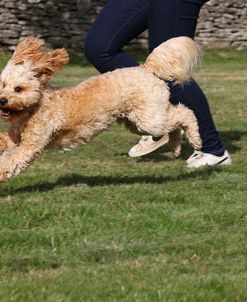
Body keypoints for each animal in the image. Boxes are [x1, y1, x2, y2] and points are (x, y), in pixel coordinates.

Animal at [0, 35, 202, 182]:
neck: (34, 108)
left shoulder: (31, 144)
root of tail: (146, 69)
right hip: (136, 122)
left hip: (148, 120)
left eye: (18, 89)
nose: (2, 100)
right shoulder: (14, 136)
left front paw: (2, 173)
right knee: (174, 123)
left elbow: (12, 159)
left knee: (185, 113)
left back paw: (195, 140)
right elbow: (4, 141)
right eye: (2, 85)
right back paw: (175, 147)